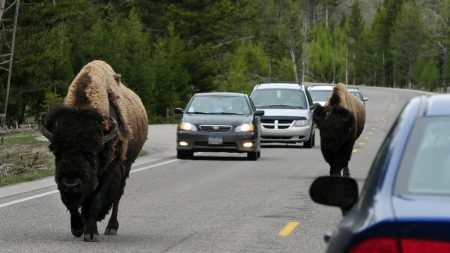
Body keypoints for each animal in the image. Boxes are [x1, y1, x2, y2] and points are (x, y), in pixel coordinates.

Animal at [39, 59, 148, 241]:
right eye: (56, 152)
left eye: (92, 152)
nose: (71, 183)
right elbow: (70, 202)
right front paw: (77, 227)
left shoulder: (109, 168)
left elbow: (97, 198)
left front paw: (91, 233)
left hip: (126, 166)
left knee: (117, 197)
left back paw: (111, 227)